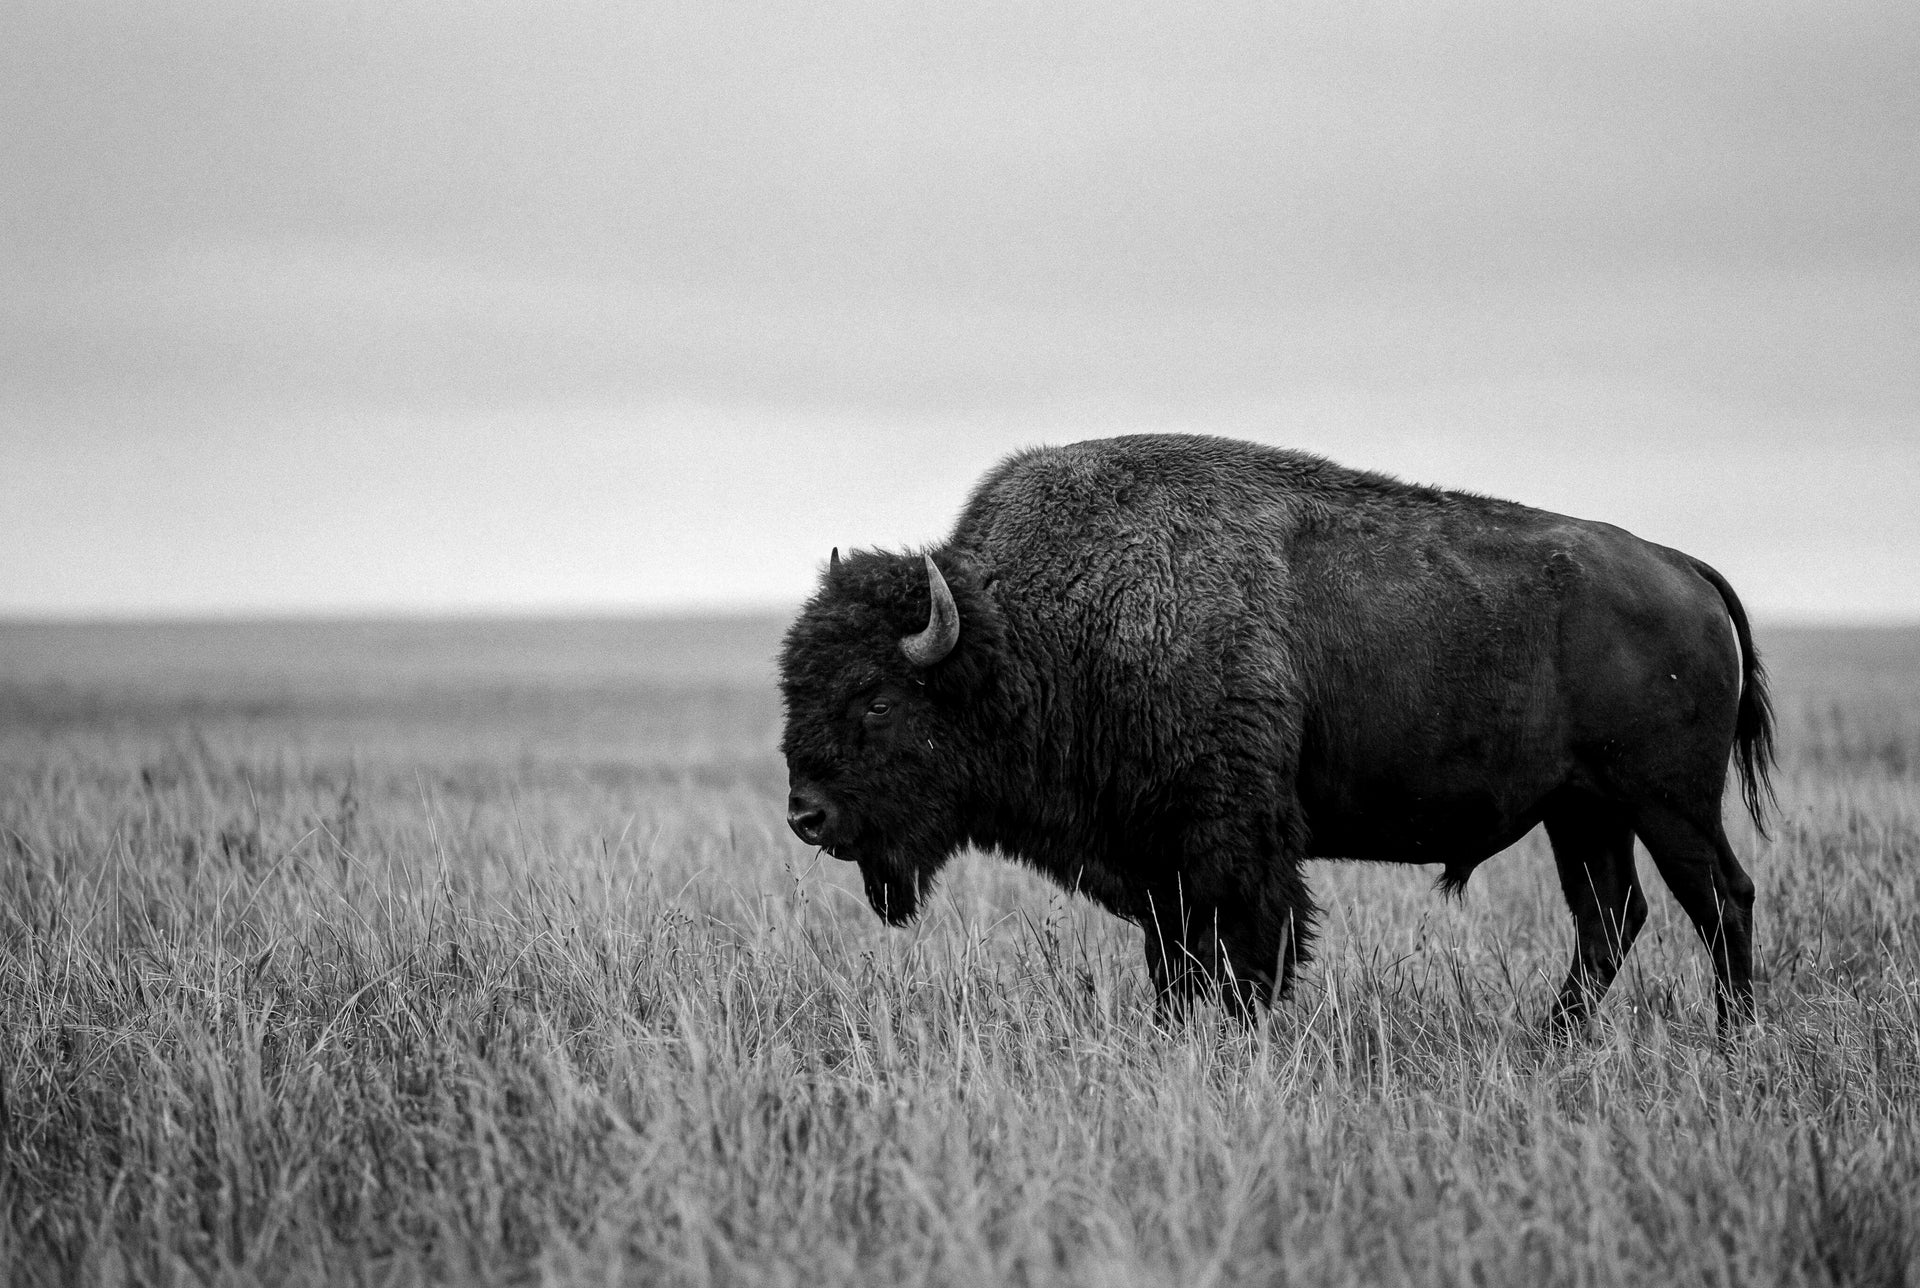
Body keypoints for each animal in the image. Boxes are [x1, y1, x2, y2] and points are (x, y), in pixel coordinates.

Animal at [779, 434, 1774, 1029]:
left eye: (875, 700)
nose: (806, 816)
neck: (1034, 631)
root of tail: (1680, 567)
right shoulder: (1161, 865)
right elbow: (1175, 966)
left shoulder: (1233, 850)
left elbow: (1248, 957)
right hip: (1584, 813)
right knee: (1611, 917)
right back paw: (1552, 1039)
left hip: (1670, 804)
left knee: (1719, 900)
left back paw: (1730, 1037)